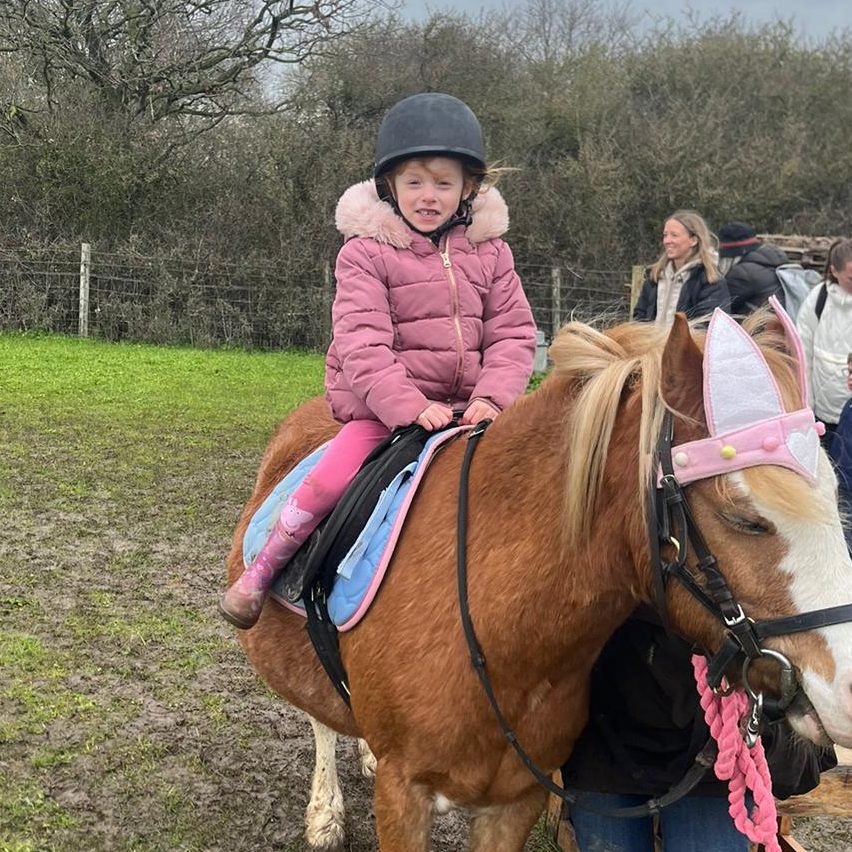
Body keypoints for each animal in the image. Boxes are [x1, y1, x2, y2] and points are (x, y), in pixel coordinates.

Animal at [226, 312, 852, 851]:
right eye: (745, 518)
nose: (848, 697)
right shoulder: (404, 796)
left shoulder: (515, 801)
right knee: (318, 718)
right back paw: (325, 811)